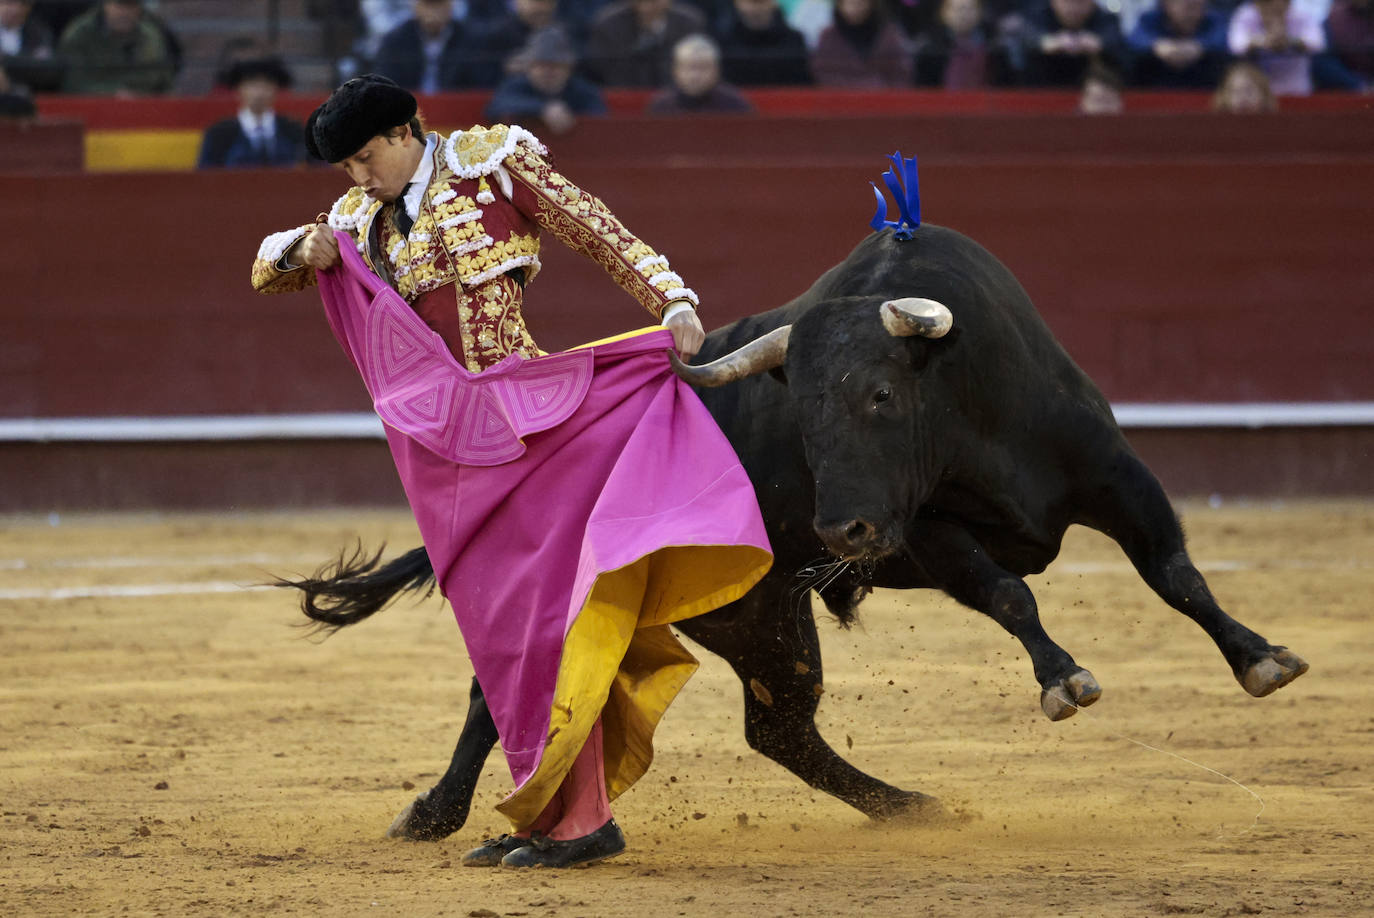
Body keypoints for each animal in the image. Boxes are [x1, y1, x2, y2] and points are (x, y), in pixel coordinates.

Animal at [284, 206, 1302, 841]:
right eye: (801, 418)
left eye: (882, 395)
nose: (842, 532)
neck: (963, 398)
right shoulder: (922, 527)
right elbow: (1009, 591)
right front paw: (1065, 680)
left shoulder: (1115, 476)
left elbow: (1177, 575)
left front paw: (1260, 659)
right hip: (706, 605)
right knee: (519, 694)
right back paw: (434, 814)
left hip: (755, 613)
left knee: (777, 731)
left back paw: (911, 807)